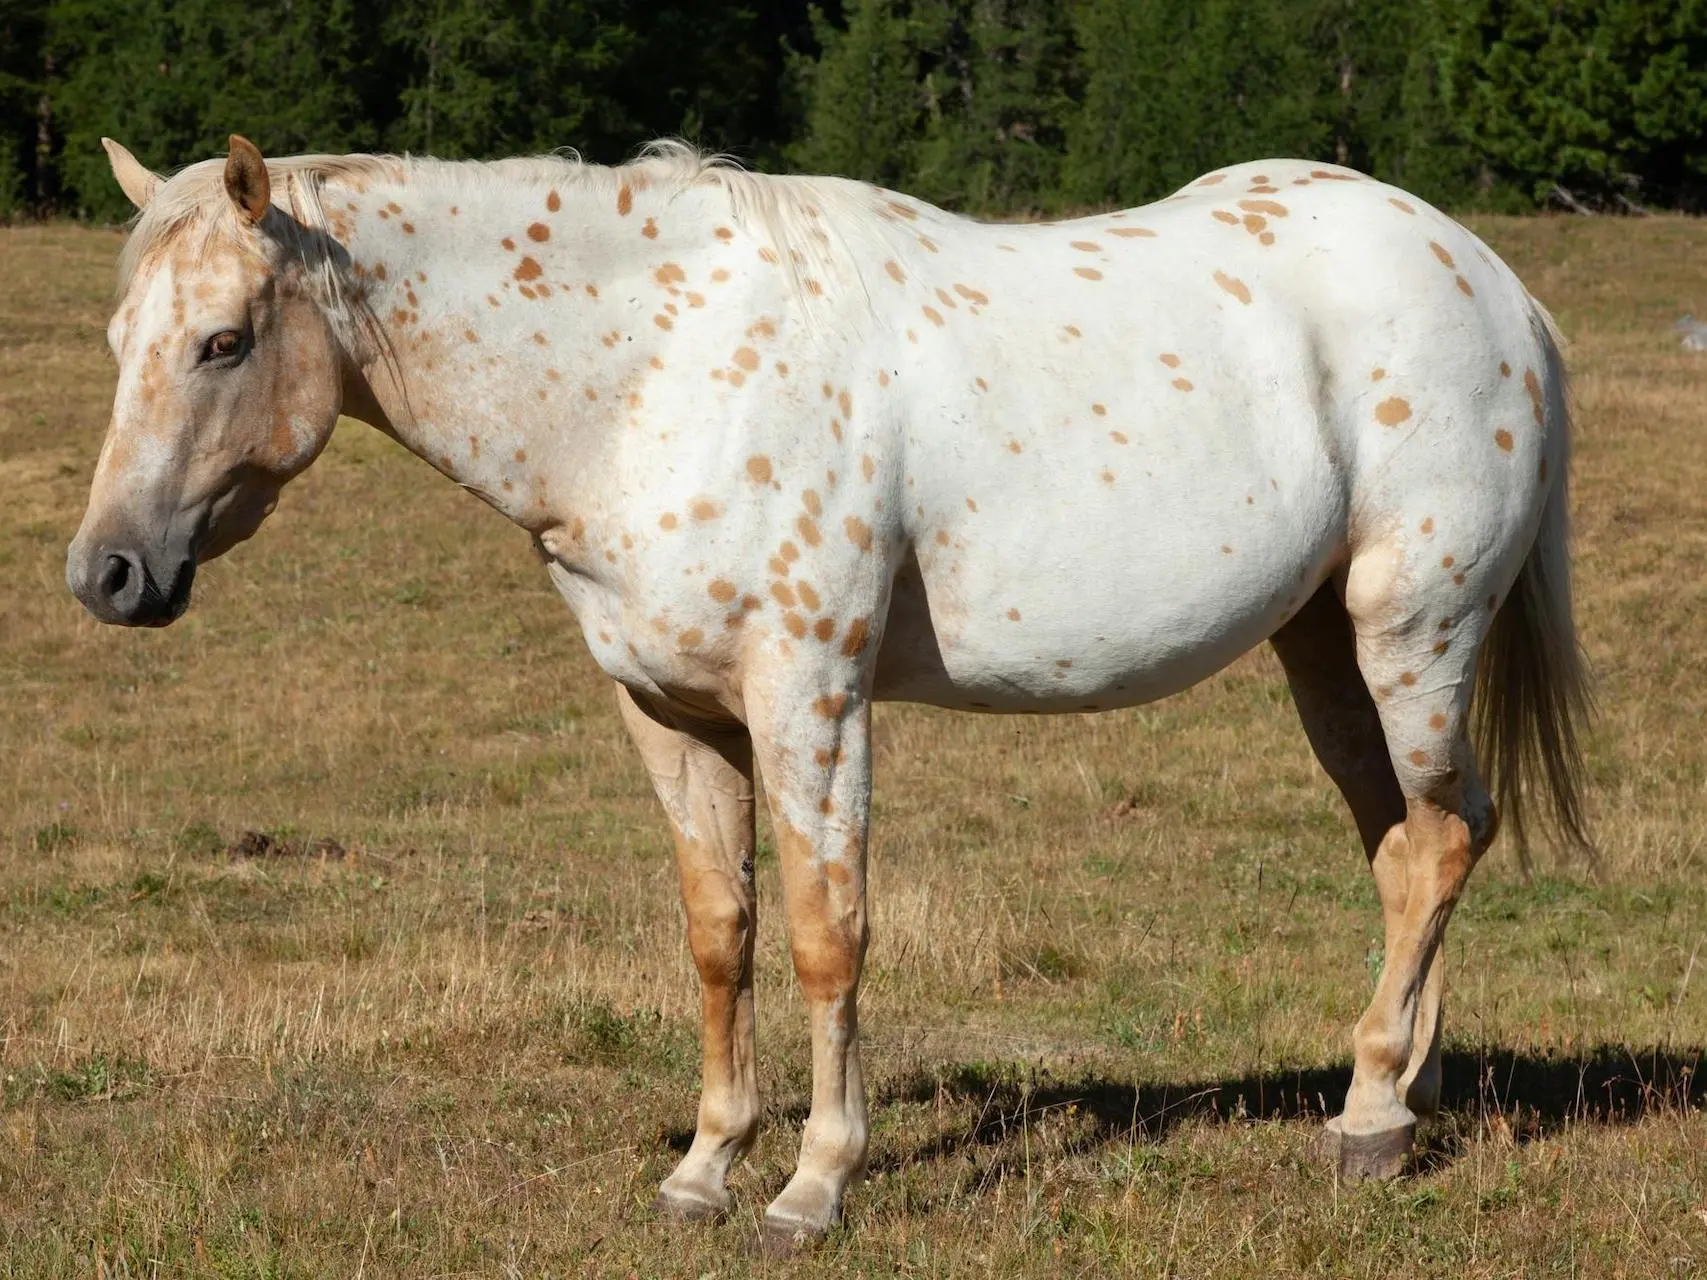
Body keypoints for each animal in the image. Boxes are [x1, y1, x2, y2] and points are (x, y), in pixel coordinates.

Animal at [66, 139, 1584, 1256]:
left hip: (1410, 631)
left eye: (220, 341)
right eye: (120, 335)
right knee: (1407, 845)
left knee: (1440, 837)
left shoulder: (810, 697)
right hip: (1321, 651)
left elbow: (822, 936)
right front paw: (704, 1167)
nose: (108, 573)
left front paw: (812, 1186)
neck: (651, 378)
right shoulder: (668, 711)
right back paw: (1398, 1090)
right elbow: (719, 935)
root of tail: (1491, 283)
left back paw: (1369, 1120)